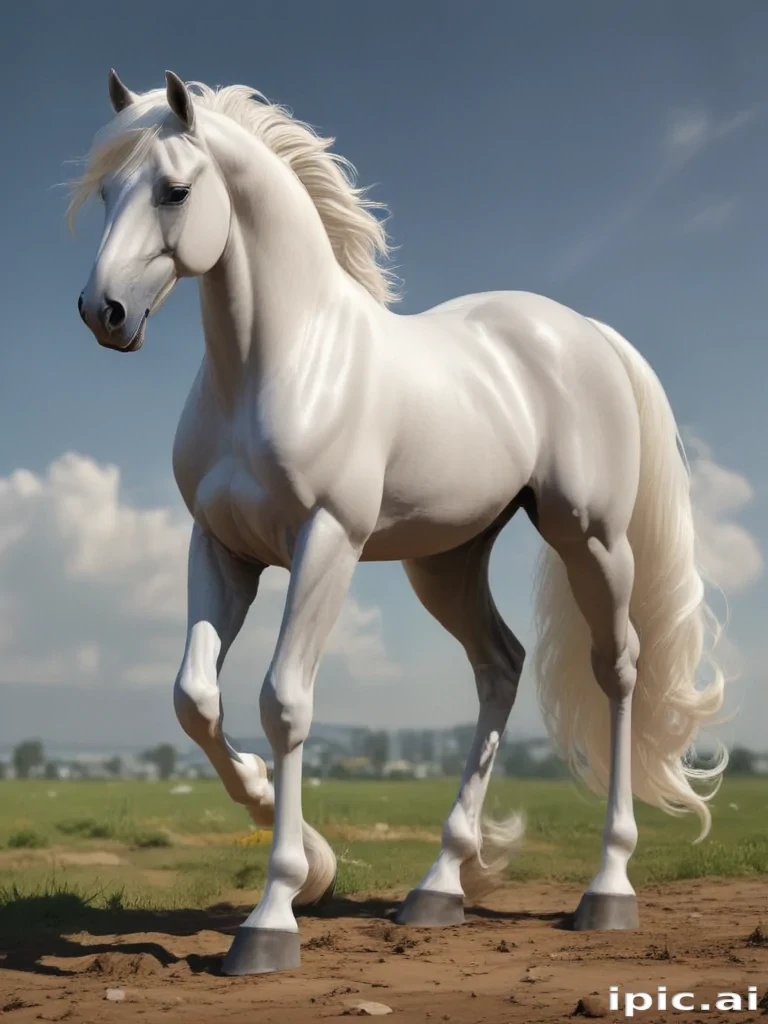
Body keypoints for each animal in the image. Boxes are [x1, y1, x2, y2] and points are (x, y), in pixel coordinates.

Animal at [71, 69, 727, 976]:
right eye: (106, 193)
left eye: (174, 189)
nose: (103, 312)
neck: (281, 361)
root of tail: (586, 334)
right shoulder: (222, 549)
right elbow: (195, 700)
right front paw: (309, 856)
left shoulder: (327, 541)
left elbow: (285, 701)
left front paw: (274, 915)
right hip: (445, 562)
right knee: (500, 667)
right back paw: (439, 887)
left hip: (590, 538)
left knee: (619, 668)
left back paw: (608, 890)